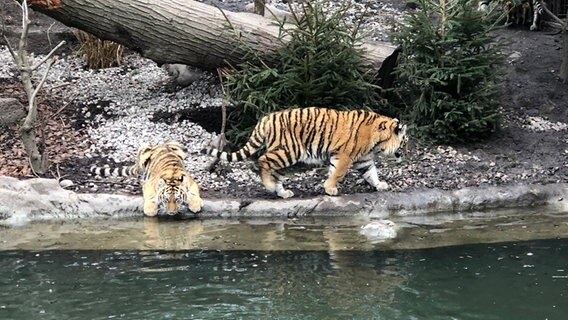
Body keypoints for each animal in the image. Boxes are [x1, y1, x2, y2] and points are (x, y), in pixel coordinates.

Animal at [202, 106, 406, 199]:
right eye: (405, 141)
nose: (406, 152)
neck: (376, 142)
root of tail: (265, 119)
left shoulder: (363, 160)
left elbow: (371, 173)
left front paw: (379, 185)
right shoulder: (344, 156)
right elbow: (338, 173)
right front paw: (330, 188)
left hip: (284, 157)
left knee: (275, 172)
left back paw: (282, 193)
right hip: (288, 150)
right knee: (262, 160)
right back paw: (269, 186)